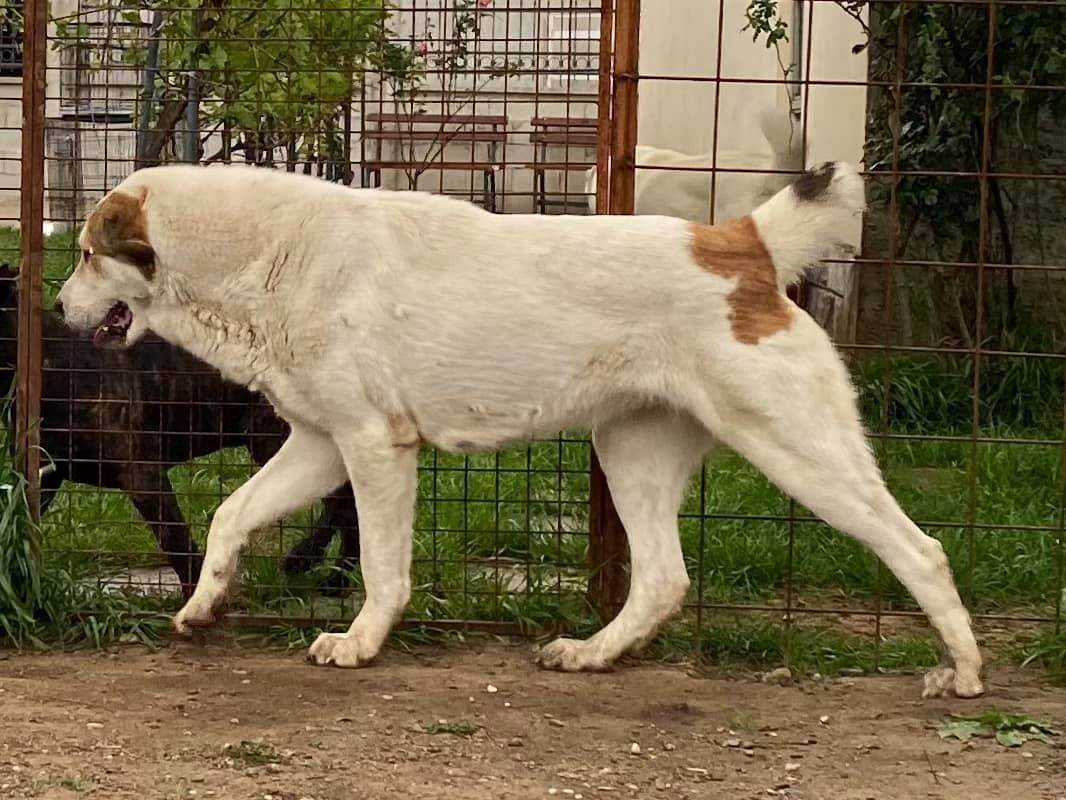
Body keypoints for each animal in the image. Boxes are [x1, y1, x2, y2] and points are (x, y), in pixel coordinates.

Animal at [0, 266, 360, 597]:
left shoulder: (143, 477)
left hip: (276, 439)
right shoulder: (43, 476)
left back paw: (318, 566)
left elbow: (176, 540)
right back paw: (330, 573)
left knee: (343, 505)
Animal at [56, 160, 980, 699]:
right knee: (662, 580)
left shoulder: (374, 447)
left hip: (801, 454)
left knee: (922, 549)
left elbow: (382, 569)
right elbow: (229, 517)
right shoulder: (319, 446)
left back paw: (963, 670)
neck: (268, 251)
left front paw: (359, 644)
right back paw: (593, 656)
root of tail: (741, 243)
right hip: (630, 455)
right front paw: (204, 606)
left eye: (86, 254)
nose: (57, 311)